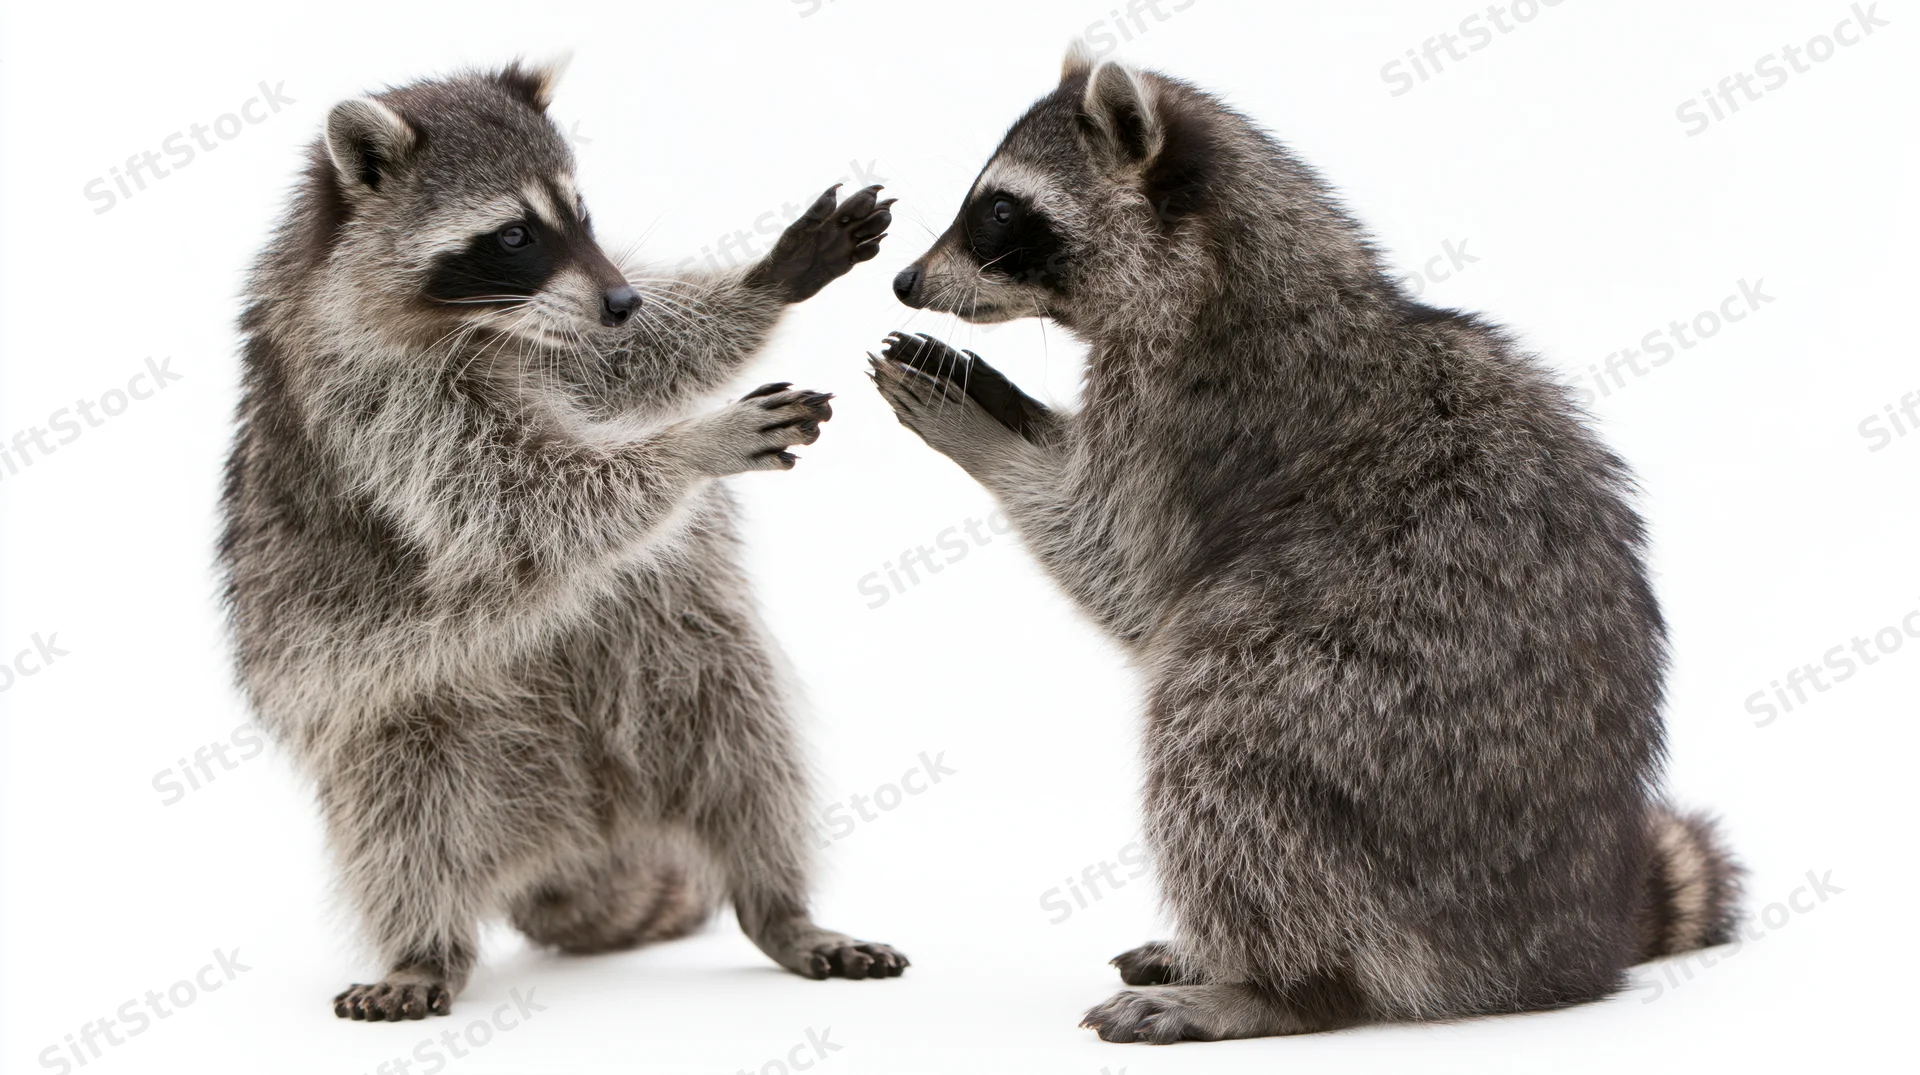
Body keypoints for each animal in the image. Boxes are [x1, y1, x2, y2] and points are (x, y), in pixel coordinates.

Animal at [218, 60, 906, 1021]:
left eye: (581, 213)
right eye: (512, 234)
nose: (623, 298)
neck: (480, 325)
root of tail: (582, 828)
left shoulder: (557, 336)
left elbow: (627, 366)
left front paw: (758, 285)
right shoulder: (370, 401)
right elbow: (517, 502)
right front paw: (690, 446)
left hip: (683, 669)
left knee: (748, 758)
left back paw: (779, 903)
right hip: (403, 714)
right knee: (401, 824)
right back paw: (425, 946)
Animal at [871, 44, 1739, 1043]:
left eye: (1001, 211)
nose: (905, 281)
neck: (1215, 259)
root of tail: (1547, 943)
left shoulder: (1197, 419)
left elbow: (1119, 566)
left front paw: (986, 434)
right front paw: (1004, 402)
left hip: (1360, 723)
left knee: (1222, 742)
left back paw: (1277, 984)